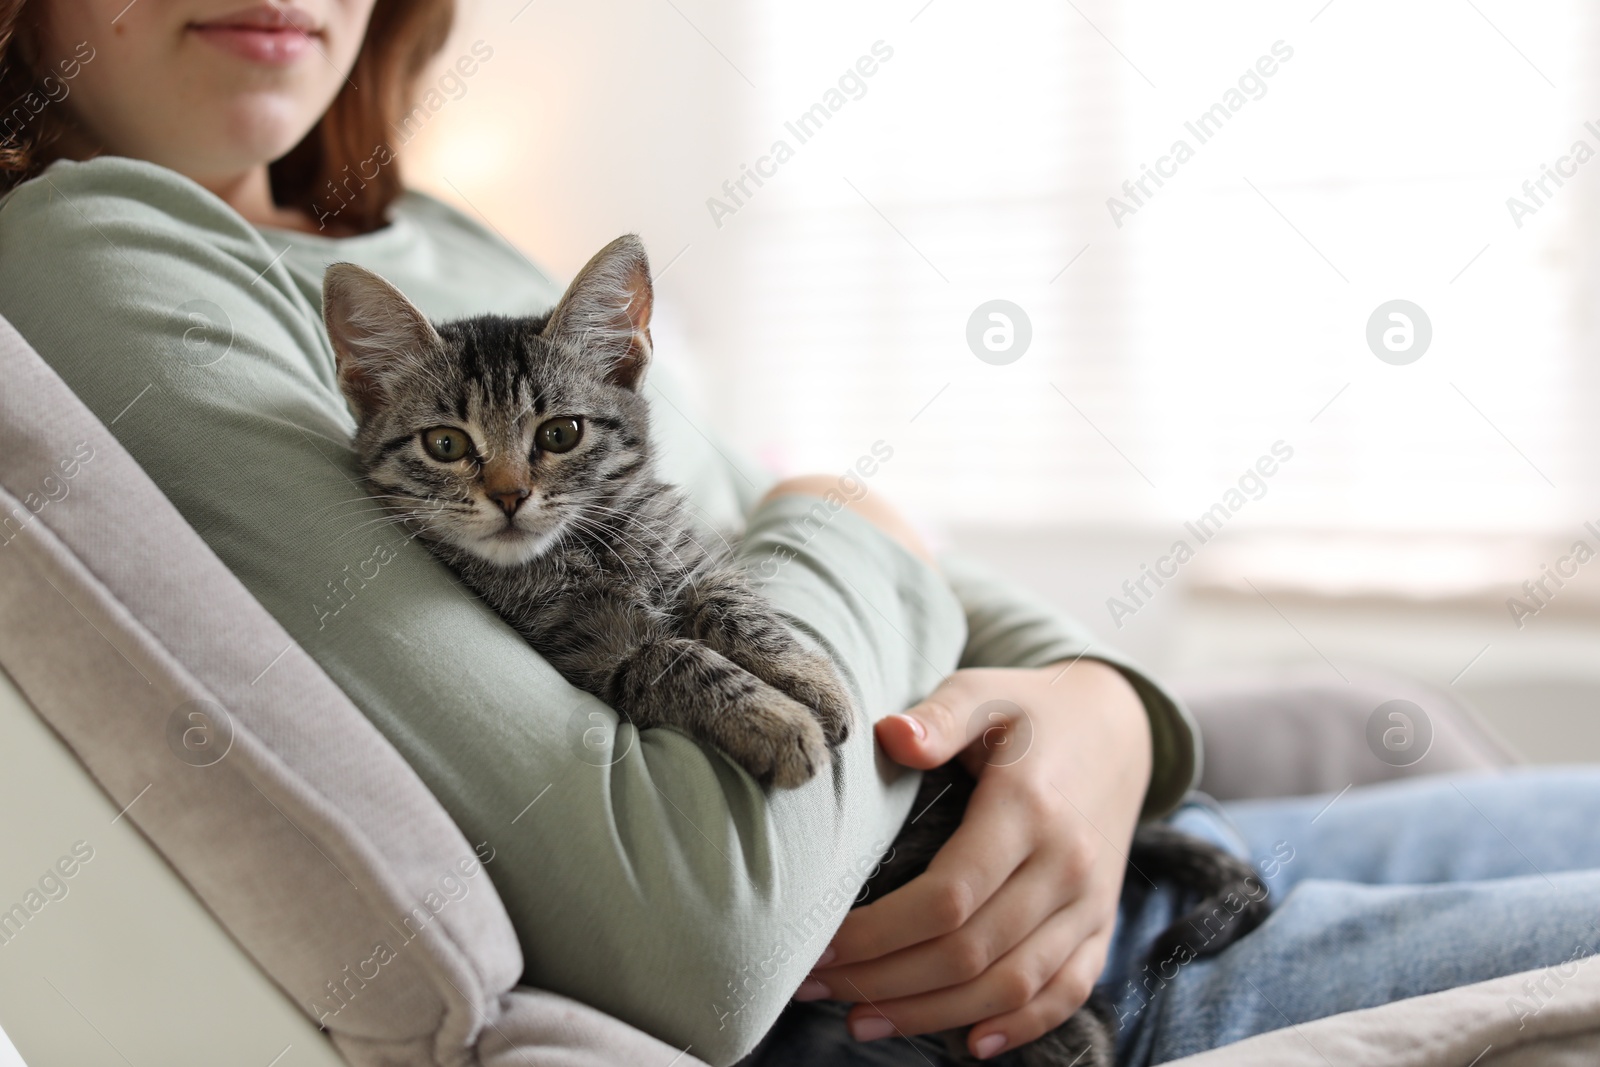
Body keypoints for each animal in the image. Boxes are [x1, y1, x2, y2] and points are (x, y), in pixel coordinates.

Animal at [316, 238, 857, 790]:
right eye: (446, 444)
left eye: (561, 434)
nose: (509, 495)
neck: (589, 548)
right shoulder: (587, 653)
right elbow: (671, 656)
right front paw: (775, 721)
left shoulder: (699, 553)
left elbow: (733, 602)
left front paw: (808, 679)